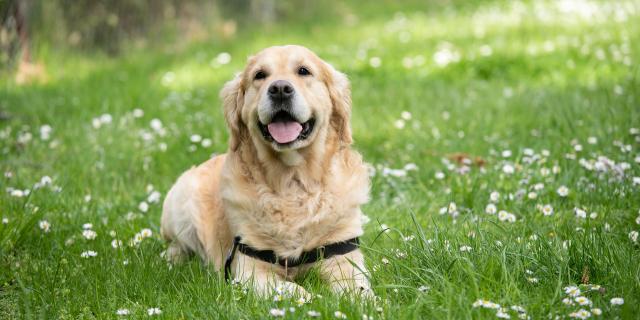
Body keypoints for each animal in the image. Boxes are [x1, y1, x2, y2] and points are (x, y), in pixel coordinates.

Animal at [160, 45, 370, 298]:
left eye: (304, 71)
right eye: (260, 75)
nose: (280, 89)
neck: (292, 182)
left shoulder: (343, 256)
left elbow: (359, 289)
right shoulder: (249, 270)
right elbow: (293, 290)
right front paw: (314, 298)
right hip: (180, 201)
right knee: (177, 245)